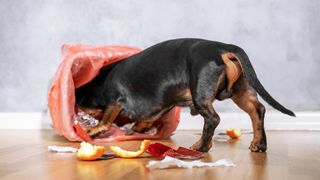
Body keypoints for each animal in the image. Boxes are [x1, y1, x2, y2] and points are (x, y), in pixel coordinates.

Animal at [75, 38, 296, 152]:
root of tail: (224, 48)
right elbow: (143, 122)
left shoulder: (114, 101)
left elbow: (105, 122)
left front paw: (91, 131)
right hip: (241, 91)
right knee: (257, 110)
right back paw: (259, 143)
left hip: (201, 95)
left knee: (213, 119)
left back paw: (201, 147)